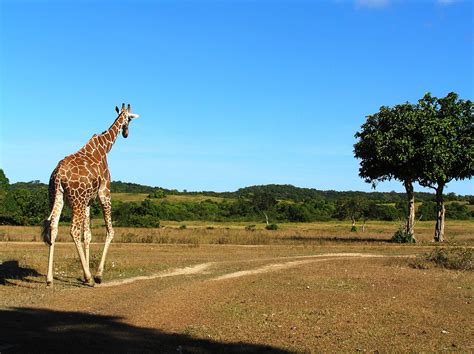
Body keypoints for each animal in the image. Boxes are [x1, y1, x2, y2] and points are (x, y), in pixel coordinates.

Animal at [42, 103, 140, 286]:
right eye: (129, 119)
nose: (126, 134)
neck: (105, 147)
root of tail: (58, 175)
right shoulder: (104, 193)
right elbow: (110, 231)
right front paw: (97, 275)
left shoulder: (88, 202)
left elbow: (87, 235)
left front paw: (84, 274)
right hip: (77, 201)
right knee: (73, 230)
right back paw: (90, 278)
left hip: (56, 197)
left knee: (54, 227)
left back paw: (49, 278)